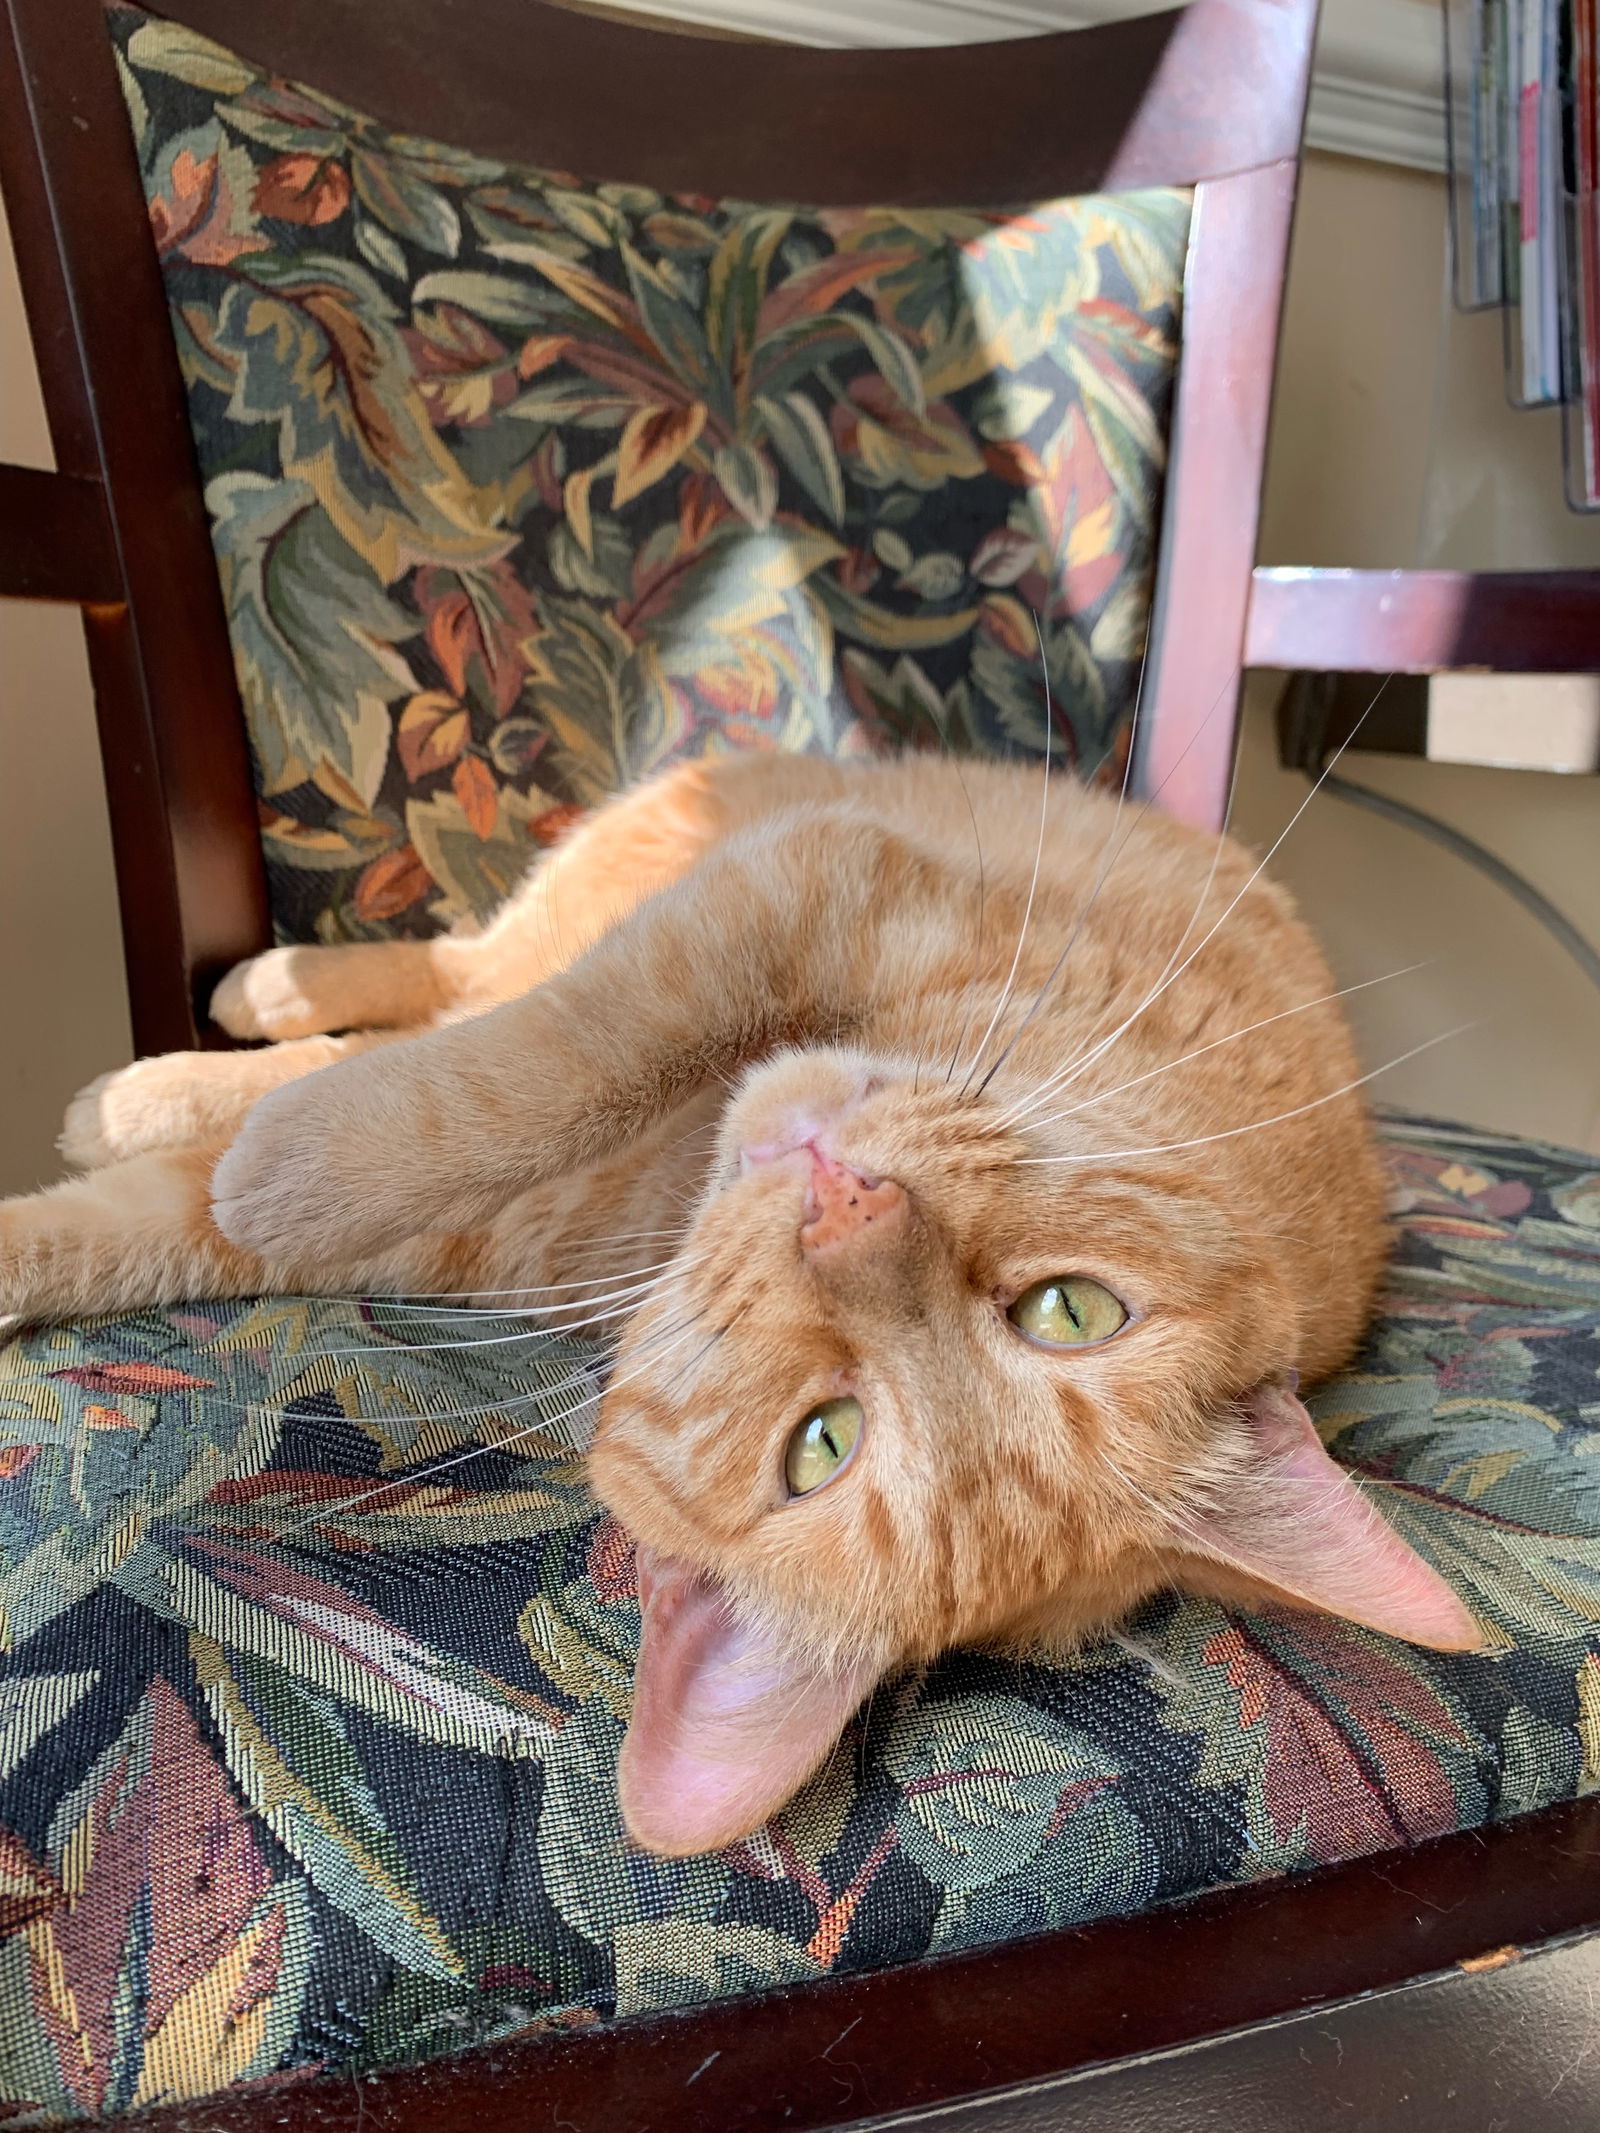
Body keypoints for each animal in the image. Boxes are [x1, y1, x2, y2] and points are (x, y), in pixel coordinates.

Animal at [0, 755, 1476, 1851]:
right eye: (1072, 1311)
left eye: (821, 1444)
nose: (851, 1212)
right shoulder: (811, 881)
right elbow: (536, 1059)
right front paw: (270, 1137)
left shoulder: (463, 1231)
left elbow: (181, 1211)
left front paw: (221, 1158)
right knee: (470, 971)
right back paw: (267, 989)